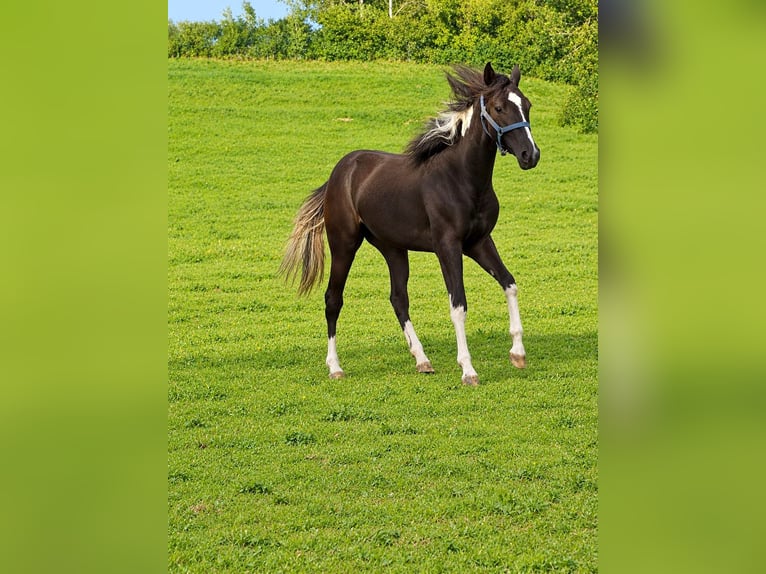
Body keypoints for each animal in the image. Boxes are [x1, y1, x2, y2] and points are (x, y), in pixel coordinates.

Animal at [280, 62, 540, 385]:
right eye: (499, 107)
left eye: (527, 105)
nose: (531, 155)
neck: (461, 178)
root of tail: (339, 173)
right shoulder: (447, 246)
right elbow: (458, 304)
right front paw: (468, 370)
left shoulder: (479, 243)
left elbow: (509, 284)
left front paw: (518, 354)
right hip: (344, 244)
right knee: (333, 298)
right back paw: (335, 367)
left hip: (393, 249)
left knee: (398, 298)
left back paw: (422, 360)